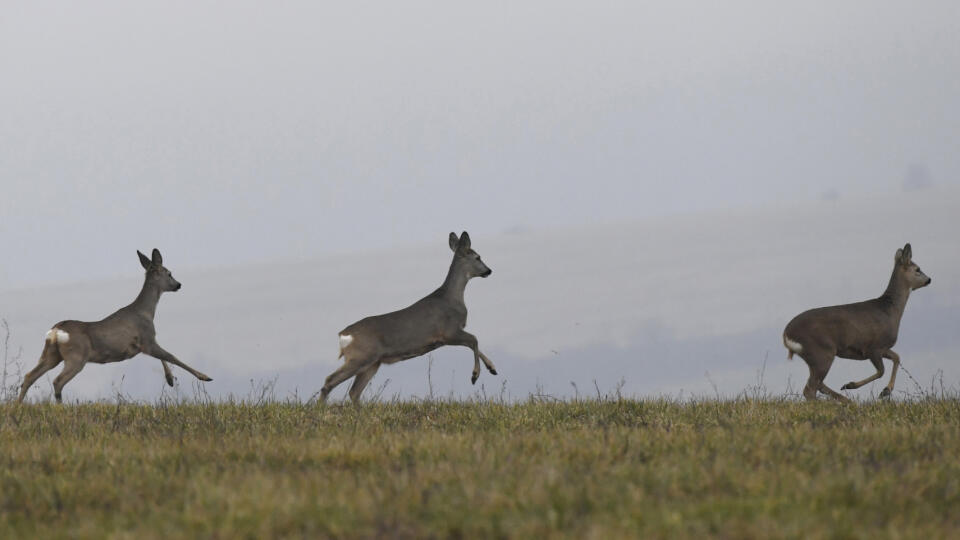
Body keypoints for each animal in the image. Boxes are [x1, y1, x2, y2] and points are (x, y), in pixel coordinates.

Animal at [17, 248, 214, 400]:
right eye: (169, 273)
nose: (178, 284)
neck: (146, 312)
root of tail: (56, 331)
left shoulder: (145, 344)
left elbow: (164, 357)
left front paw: (170, 379)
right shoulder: (147, 339)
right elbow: (171, 356)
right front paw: (204, 377)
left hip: (51, 354)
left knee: (29, 376)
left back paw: (18, 406)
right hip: (77, 356)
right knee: (57, 381)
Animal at [322, 230, 498, 402]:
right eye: (478, 257)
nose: (489, 270)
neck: (451, 298)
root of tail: (343, 335)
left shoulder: (449, 336)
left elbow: (475, 343)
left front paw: (492, 369)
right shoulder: (447, 332)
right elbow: (474, 340)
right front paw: (475, 376)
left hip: (372, 362)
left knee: (354, 391)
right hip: (361, 356)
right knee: (330, 381)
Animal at [784, 244, 932, 400]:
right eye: (917, 269)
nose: (929, 279)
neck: (889, 310)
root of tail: (786, 334)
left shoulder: (883, 347)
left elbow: (897, 357)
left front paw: (886, 390)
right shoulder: (873, 347)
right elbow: (881, 371)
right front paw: (858, 386)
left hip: (815, 357)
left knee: (818, 385)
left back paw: (846, 400)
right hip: (822, 351)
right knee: (811, 388)